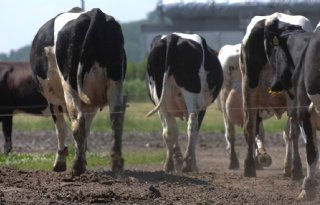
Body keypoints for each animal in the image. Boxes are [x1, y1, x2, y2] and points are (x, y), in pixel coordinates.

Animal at [29, 7, 125, 175]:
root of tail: (95, 12)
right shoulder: (92, 105)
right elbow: (86, 131)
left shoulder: (53, 100)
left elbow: (61, 129)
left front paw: (60, 164)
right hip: (115, 80)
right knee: (116, 118)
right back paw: (116, 165)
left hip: (70, 84)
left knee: (77, 120)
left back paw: (77, 167)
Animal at [146, 32, 222, 172]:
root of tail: (173, 37)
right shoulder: (202, 108)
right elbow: (195, 130)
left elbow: (172, 130)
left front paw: (175, 159)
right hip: (192, 94)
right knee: (192, 124)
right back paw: (188, 164)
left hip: (160, 98)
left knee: (168, 130)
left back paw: (171, 163)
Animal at [241, 11, 314, 200]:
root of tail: (271, 20)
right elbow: (290, 133)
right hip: (289, 94)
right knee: (293, 130)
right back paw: (296, 169)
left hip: (249, 89)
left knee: (250, 126)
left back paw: (249, 167)